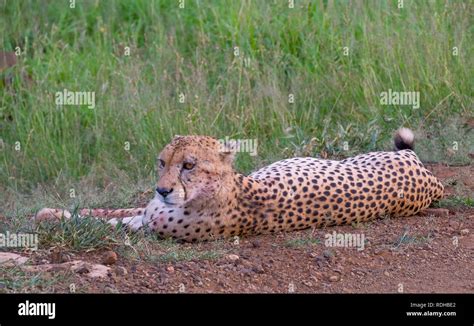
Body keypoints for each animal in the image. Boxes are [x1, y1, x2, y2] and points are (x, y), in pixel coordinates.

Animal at [34, 127, 444, 242]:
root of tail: (431, 180)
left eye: (189, 166)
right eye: (162, 162)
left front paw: (50, 218)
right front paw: (50, 211)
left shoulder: (150, 226)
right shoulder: (145, 211)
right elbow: (100, 210)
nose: (163, 190)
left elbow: (99, 222)